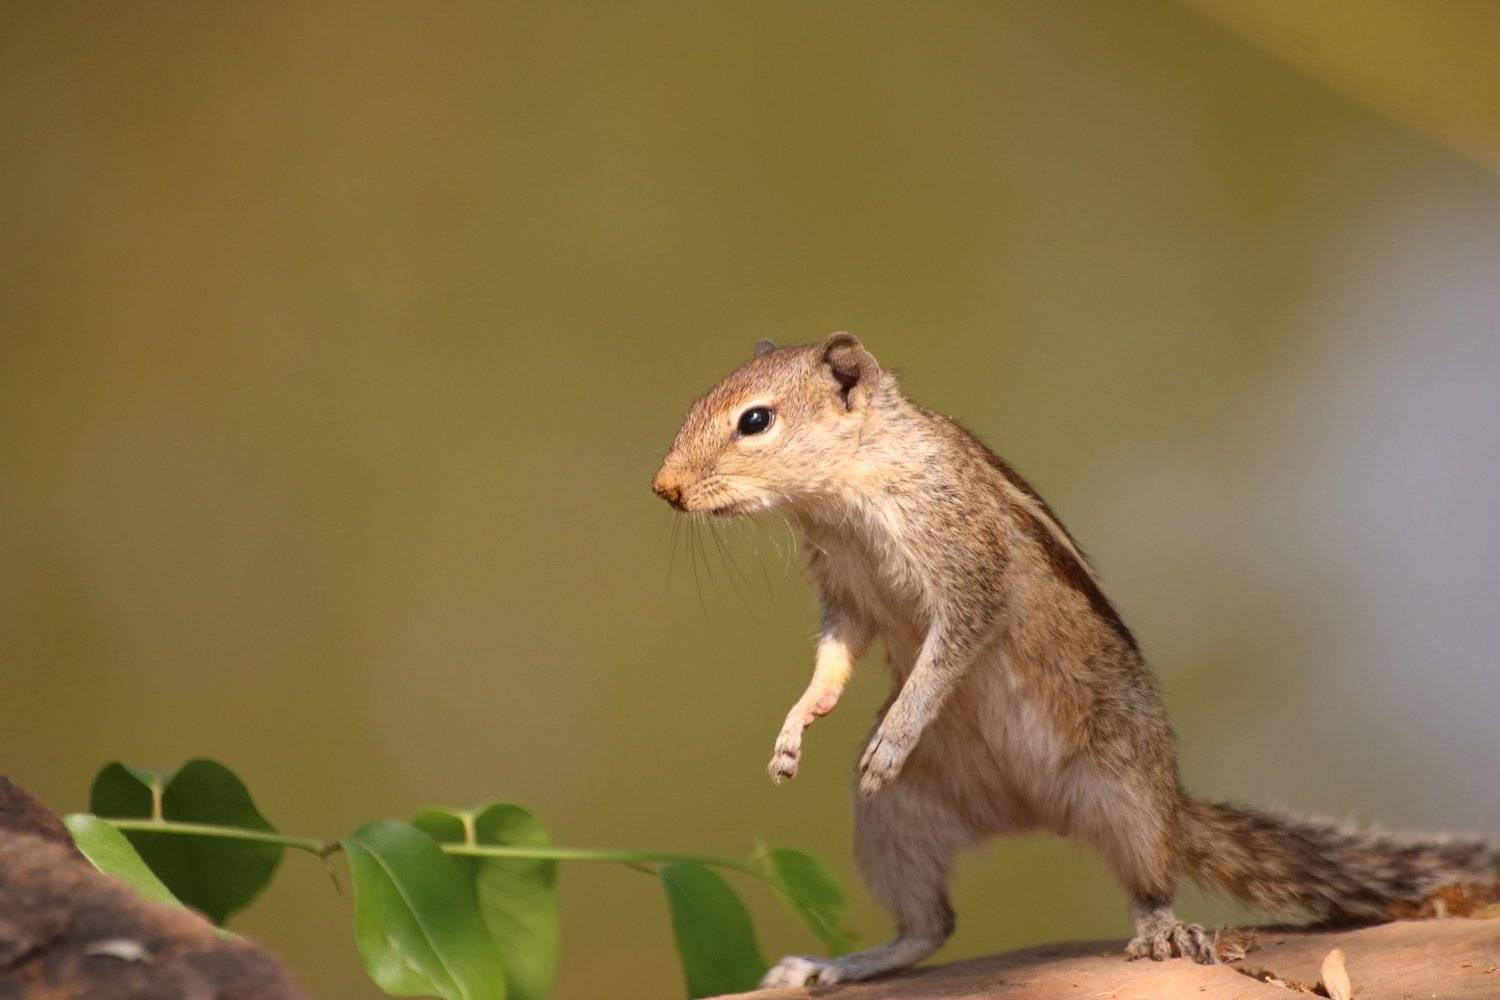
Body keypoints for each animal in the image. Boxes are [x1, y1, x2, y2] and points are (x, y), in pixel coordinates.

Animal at [651, 333, 1500, 988]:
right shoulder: (846, 598)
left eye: (754, 420)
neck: (844, 492)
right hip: (898, 822)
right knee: (930, 927)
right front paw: (798, 726)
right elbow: (834, 658)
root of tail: (1025, 810)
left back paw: (1161, 929)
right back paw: (837, 966)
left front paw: (895, 732)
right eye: (701, 400)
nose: (664, 488)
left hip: (1122, 793)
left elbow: (950, 649)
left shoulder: (967, 568)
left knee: (1150, 877)